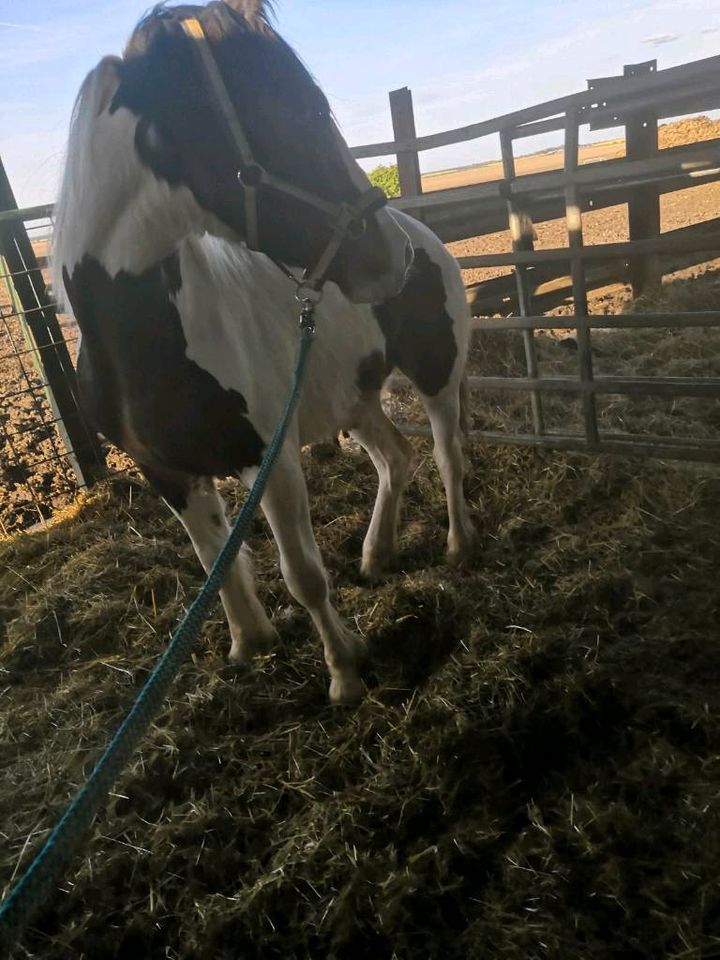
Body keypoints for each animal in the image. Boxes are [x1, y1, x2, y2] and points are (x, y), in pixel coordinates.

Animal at [53, 1, 476, 704]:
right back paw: (376, 555)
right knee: (395, 458)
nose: (391, 255)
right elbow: (215, 564)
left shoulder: (270, 464)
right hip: (351, 397)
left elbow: (302, 571)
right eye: (295, 110)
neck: (148, 347)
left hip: (437, 375)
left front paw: (344, 673)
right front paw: (249, 642)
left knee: (446, 456)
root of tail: (426, 235)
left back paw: (457, 544)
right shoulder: (168, 474)